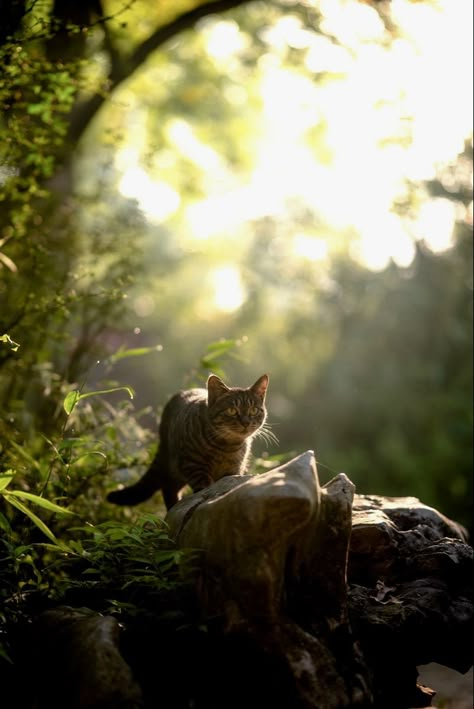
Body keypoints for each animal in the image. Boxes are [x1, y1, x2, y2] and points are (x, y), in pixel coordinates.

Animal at [108, 370, 270, 508]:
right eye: (231, 411)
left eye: (254, 410)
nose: (246, 422)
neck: (226, 446)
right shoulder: (192, 463)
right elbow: (204, 485)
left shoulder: (233, 470)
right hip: (175, 467)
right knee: (168, 488)